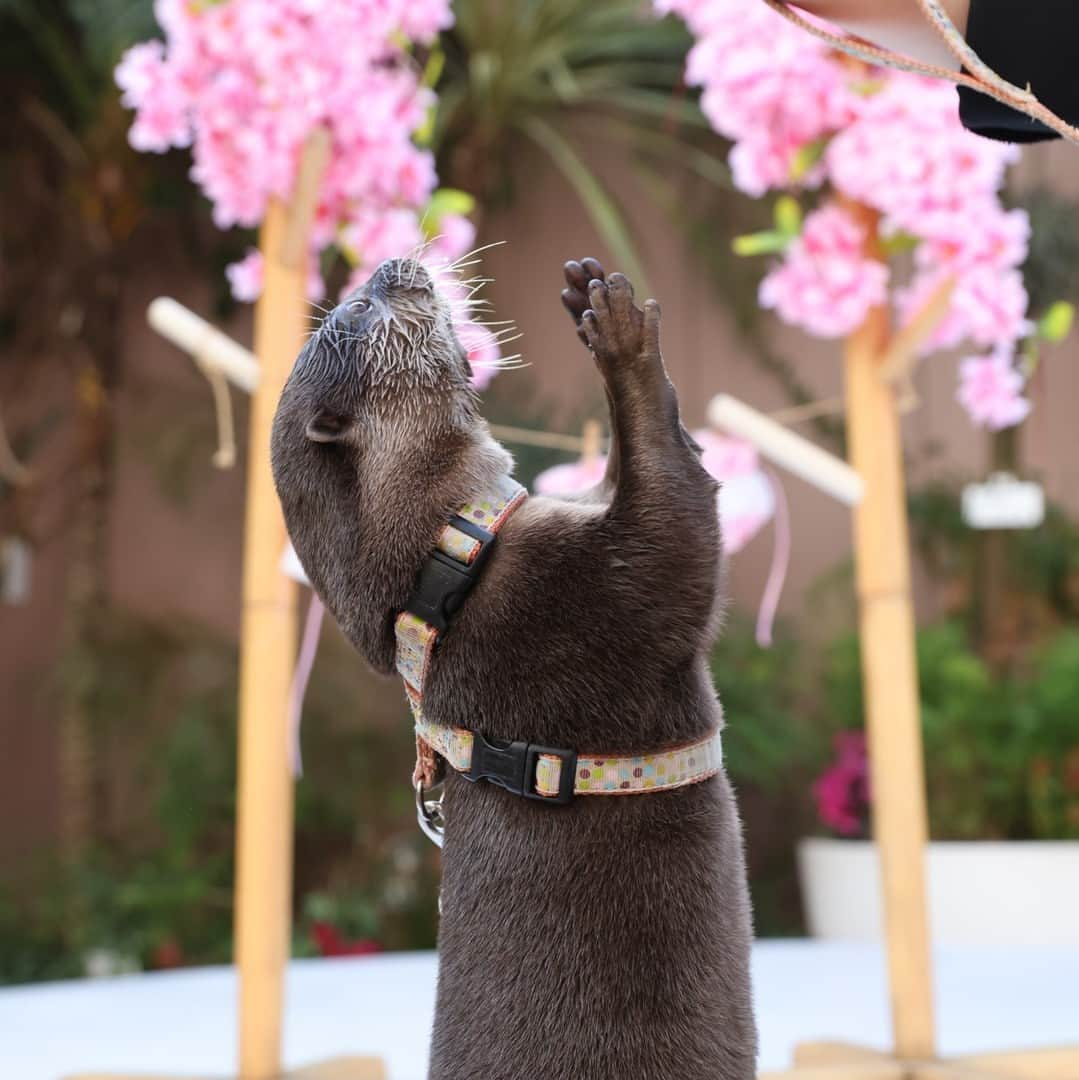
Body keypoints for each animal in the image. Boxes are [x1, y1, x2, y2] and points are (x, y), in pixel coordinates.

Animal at [272, 254, 760, 1080]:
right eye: (361, 311)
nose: (393, 262)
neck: (443, 566)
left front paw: (583, 297)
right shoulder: (588, 603)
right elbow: (678, 520)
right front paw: (623, 343)